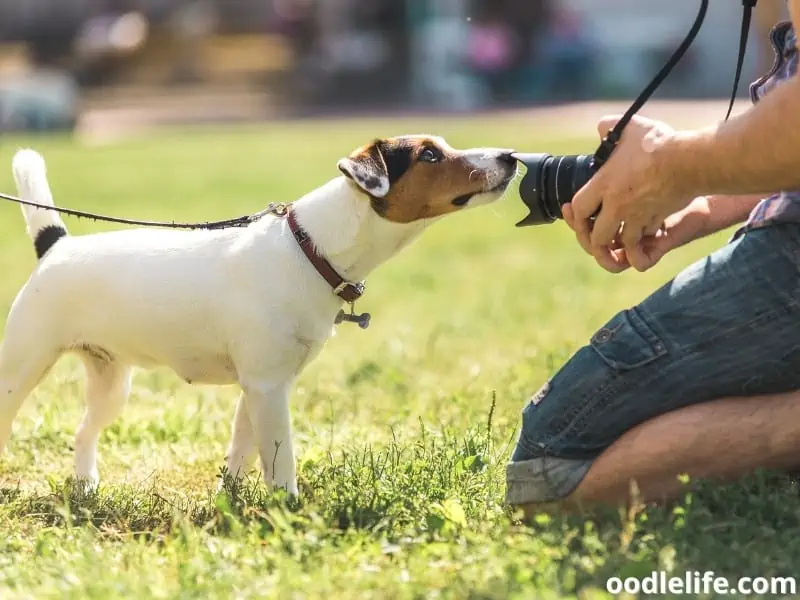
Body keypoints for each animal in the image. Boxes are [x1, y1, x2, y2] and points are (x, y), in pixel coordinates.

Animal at [0, 138, 516, 494]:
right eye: (429, 154)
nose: (510, 156)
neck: (310, 247)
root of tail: (57, 246)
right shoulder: (268, 388)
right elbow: (280, 460)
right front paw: (288, 509)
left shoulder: (262, 385)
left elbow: (242, 452)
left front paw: (228, 501)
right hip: (21, 370)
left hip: (111, 381)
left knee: (83, 431)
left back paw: (86, 486)